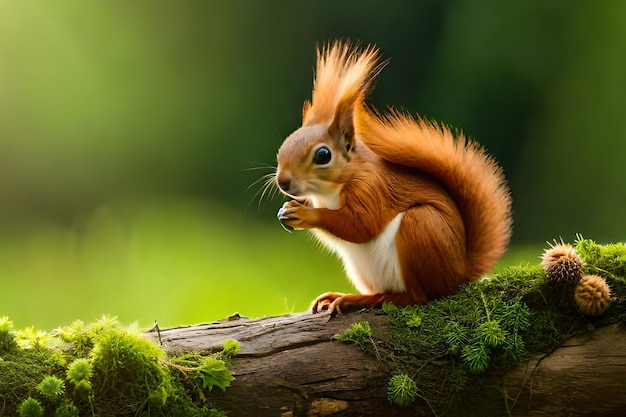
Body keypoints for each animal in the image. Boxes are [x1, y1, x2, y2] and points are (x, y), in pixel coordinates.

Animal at [276, 42, 510, 314]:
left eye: (323, 155)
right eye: (285, 145)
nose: (283, 182)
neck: (329, 191)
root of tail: (458, 274)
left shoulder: (370, 188)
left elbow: (361, 226)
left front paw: (305, 214)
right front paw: (286, 209)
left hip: (421, 227)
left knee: (418, 297)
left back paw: (370, 299)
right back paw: (348, 296)